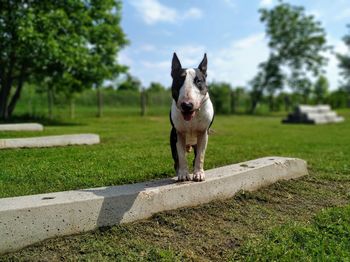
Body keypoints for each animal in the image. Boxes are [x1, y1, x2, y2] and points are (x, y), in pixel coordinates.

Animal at [170, 52, 213, 181]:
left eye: (198, 81)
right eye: (179, 80)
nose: (187, 105)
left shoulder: (203, 133)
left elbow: (200, 156)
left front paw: (198, 173)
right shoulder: (178, 134)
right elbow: (181, 157)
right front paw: (183, 174)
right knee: (176, 159)